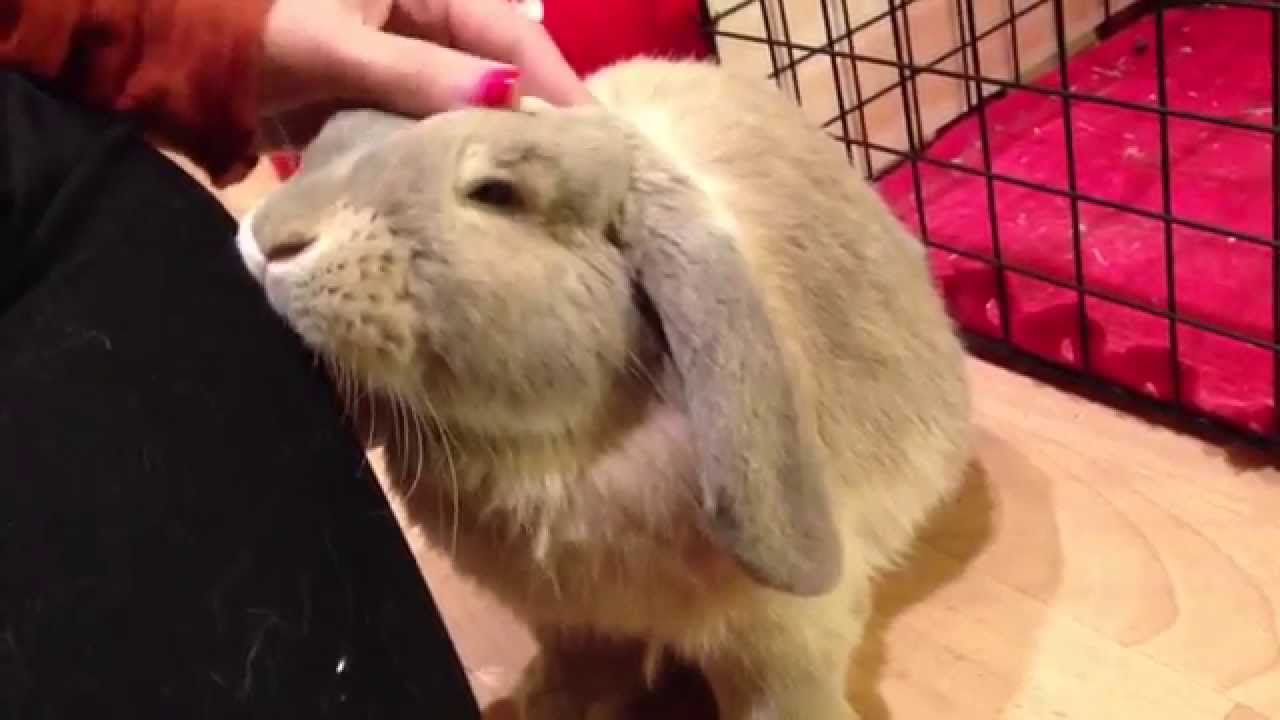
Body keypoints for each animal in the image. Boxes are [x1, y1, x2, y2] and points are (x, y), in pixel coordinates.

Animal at [234, 57, 972, 720]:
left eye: (496, 193)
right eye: (333, 136)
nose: (269, 240)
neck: (559, 449)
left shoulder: (779, 630)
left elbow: (780, 693)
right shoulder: (569, 619)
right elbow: (584, 662)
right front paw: (545, 707)